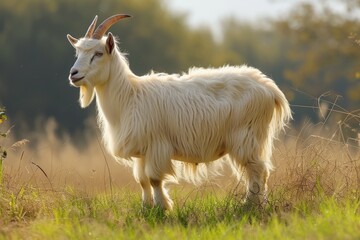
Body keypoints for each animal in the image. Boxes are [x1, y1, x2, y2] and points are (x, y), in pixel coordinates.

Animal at [67, 15, 292, 210]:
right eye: (77, 54)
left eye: (98, 53)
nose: (73, 74)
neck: (130, 96)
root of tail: (269, 88)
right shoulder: (142, 150)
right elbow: (142, 180)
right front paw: (146, 207)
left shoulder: (157, 145)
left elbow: (154, 179)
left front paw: (162, 208)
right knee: (258, 172)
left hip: (247, 137)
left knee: (257, 171)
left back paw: (250, 206)